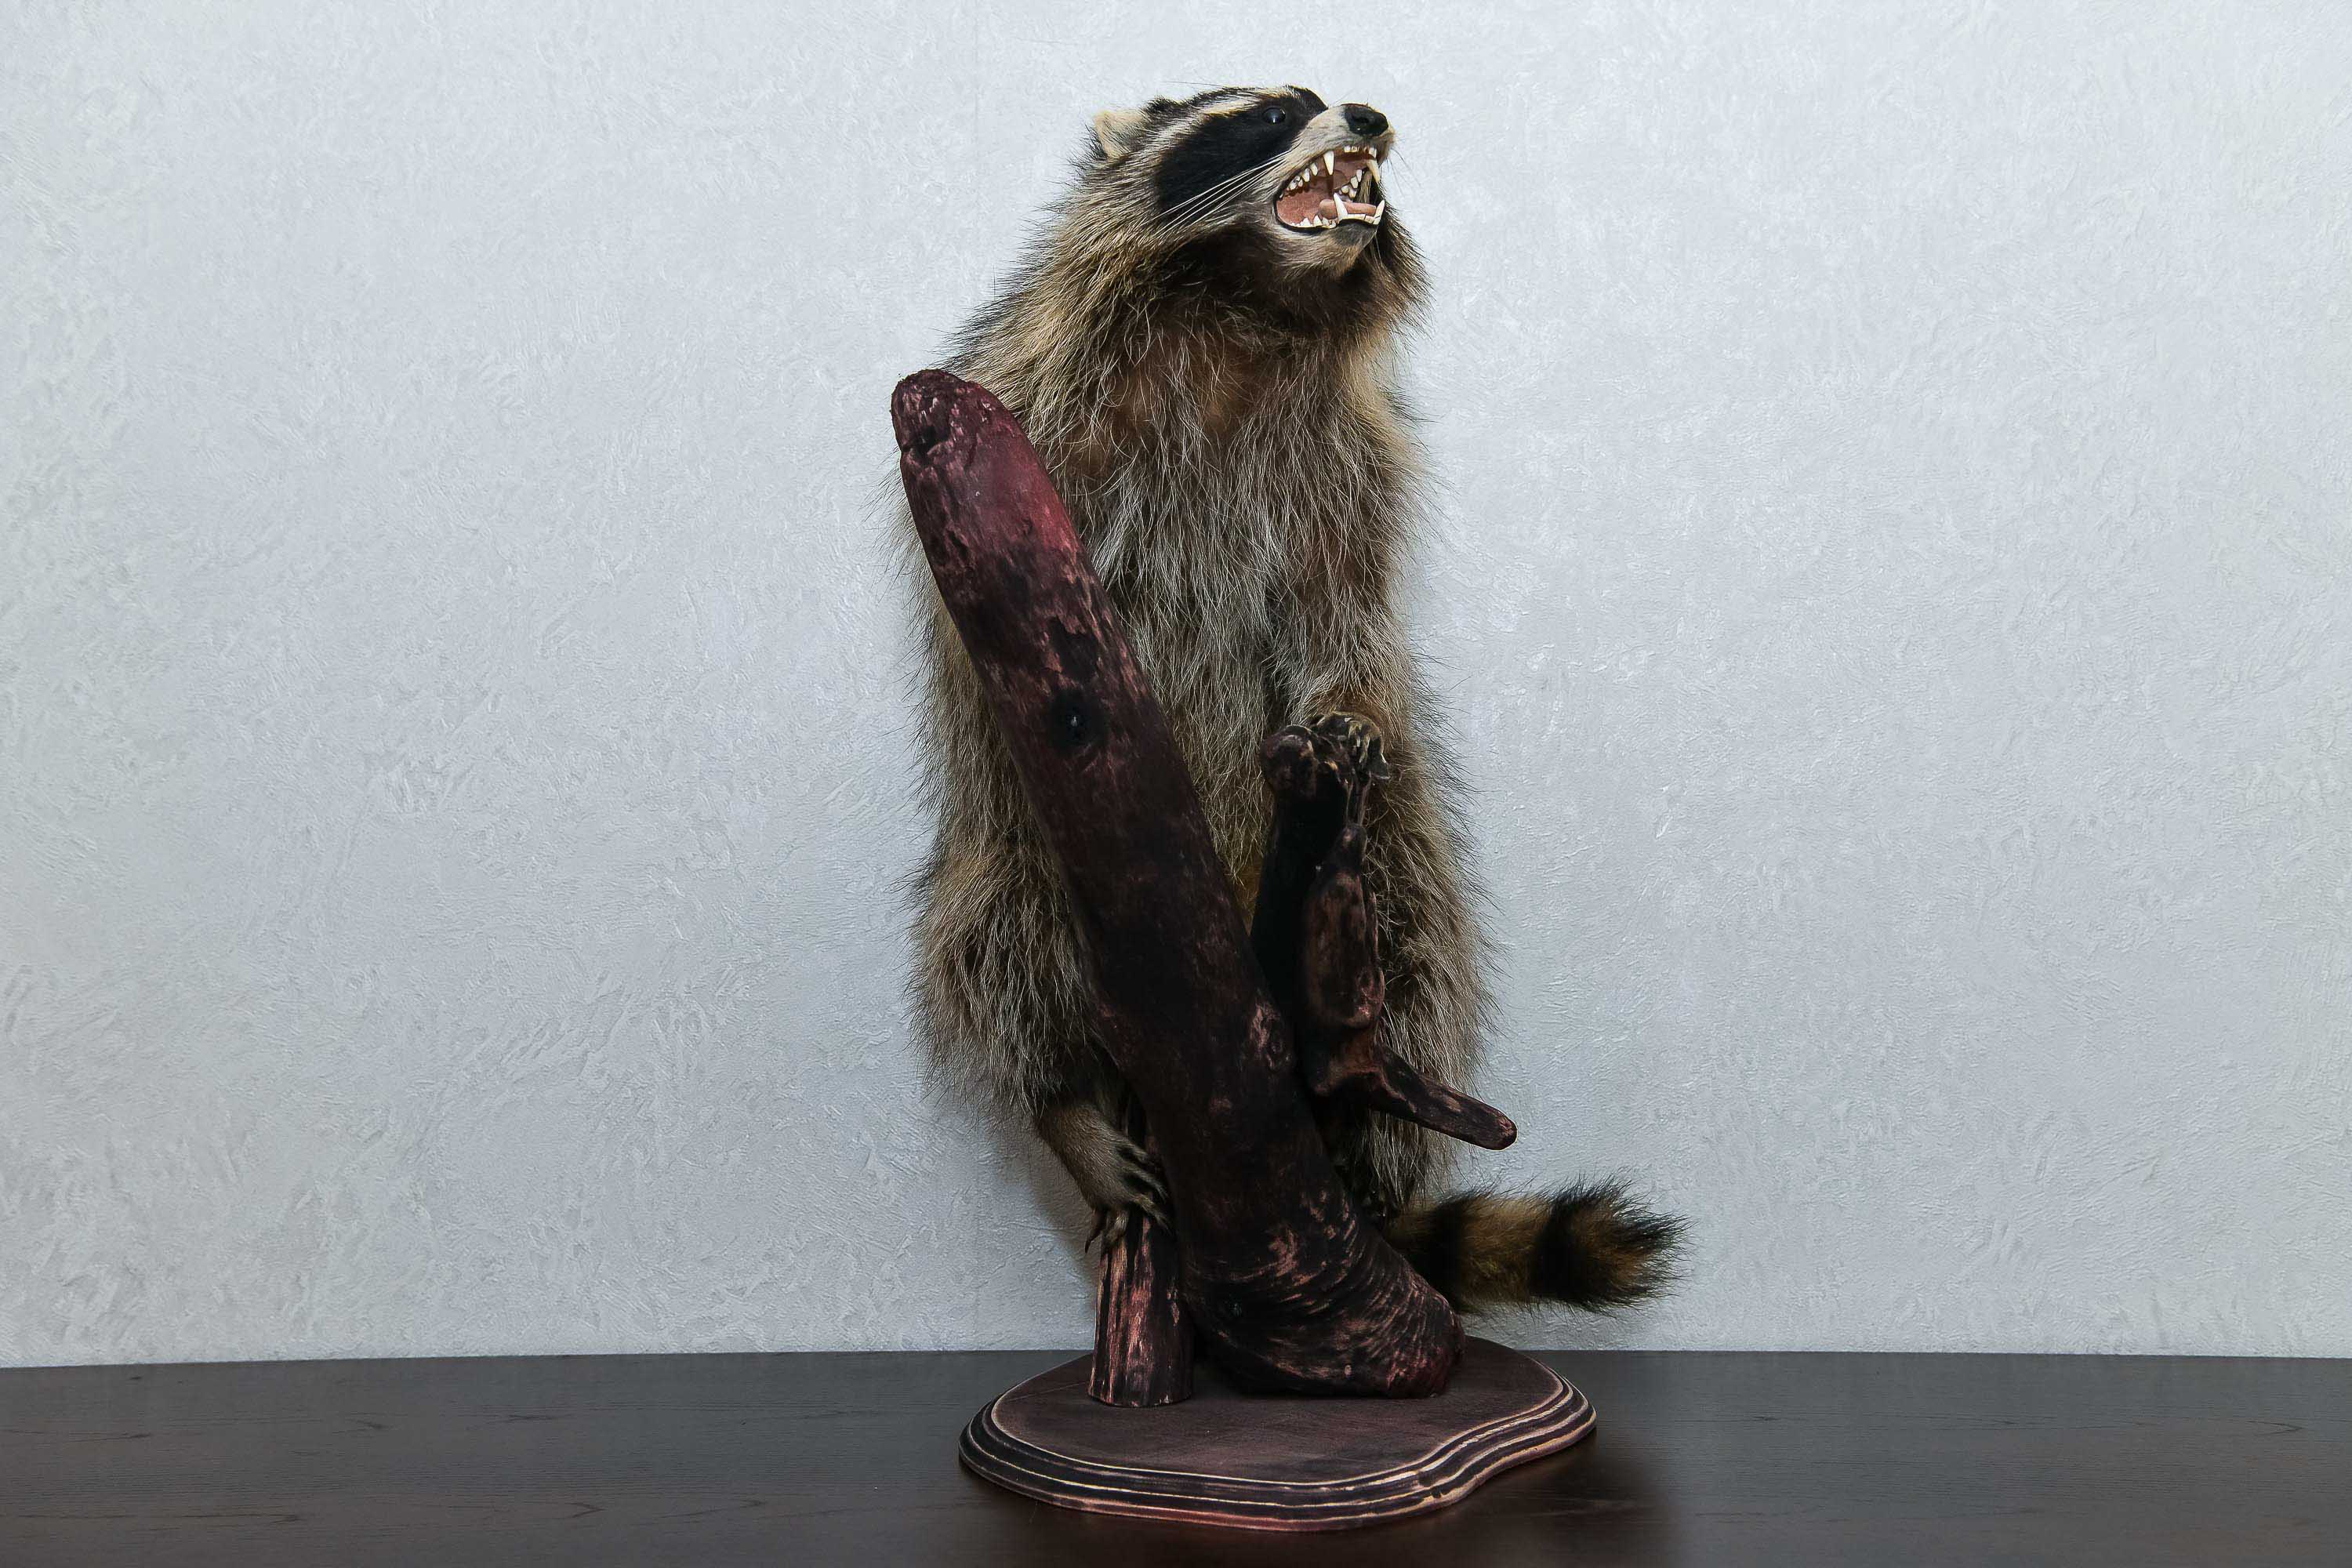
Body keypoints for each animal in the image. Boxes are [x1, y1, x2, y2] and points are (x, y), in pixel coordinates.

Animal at [906, 85, 1678, 1312]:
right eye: (1273, 112)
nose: (1365, 111)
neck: (1252, 305)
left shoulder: (1346, 455)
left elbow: (1342, 607)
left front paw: (1347, 687)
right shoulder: (1037, 402)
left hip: (1380, 843)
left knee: (1412, 915)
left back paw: (1365, 1139)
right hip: (1017, 833)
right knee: (998, 926)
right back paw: (1060, 1094)